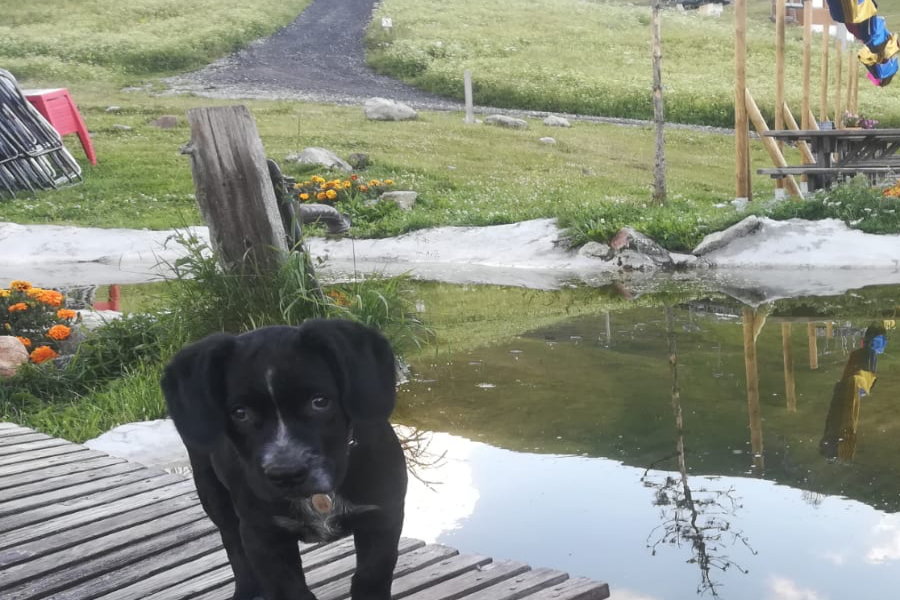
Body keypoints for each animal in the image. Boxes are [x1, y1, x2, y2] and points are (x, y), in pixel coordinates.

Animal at [160, 322, 406, 600]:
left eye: (320, 402)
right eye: (240, 413)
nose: (286, 474)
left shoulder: (382, 517)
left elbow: (370, 576)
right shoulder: (262, 536)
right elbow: (289, 590)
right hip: (212, 493)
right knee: (234, 549)